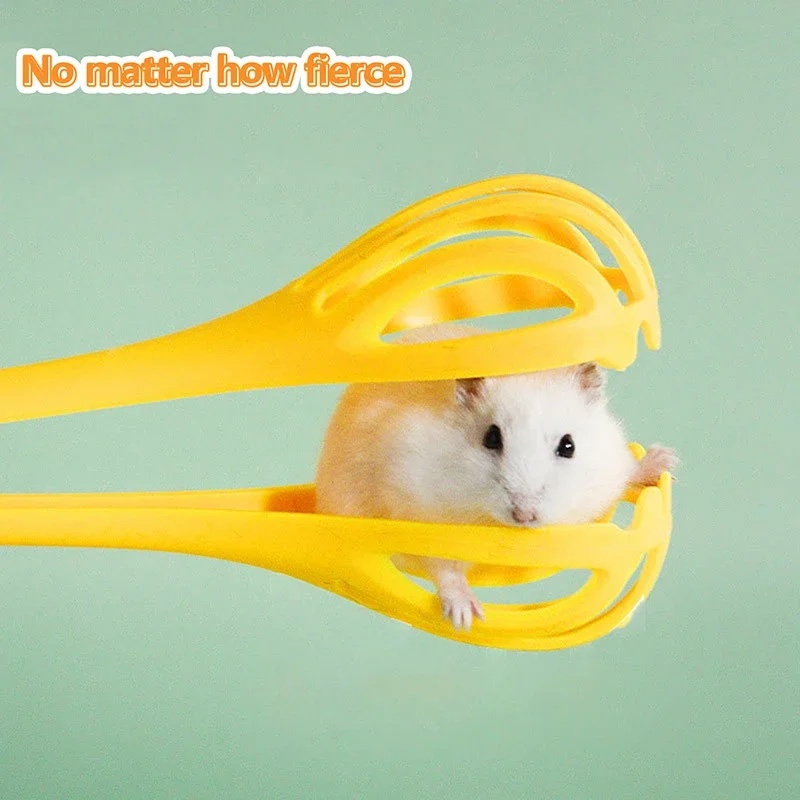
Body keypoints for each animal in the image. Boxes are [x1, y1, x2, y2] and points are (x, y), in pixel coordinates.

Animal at [314, 322, 678, 632]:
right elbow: (443, 566)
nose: (524, 515)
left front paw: (667, 461)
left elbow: (629, 470)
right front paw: (466, 617)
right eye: (491, 438)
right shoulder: (418, 510)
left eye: (569, 445)